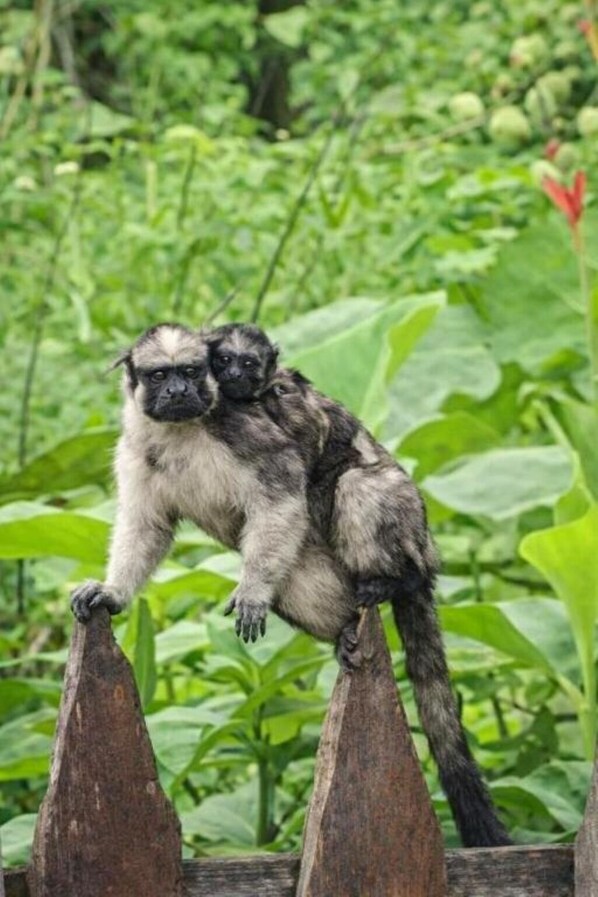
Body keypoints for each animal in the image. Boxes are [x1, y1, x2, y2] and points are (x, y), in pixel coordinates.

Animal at [204, 324, 511, 848]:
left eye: (249, 364)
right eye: (223, 360)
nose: (237, 377)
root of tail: (426, 552)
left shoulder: (291, 405)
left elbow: (312, 447)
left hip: (407, 526)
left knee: (357, 483)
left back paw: (394, 579)